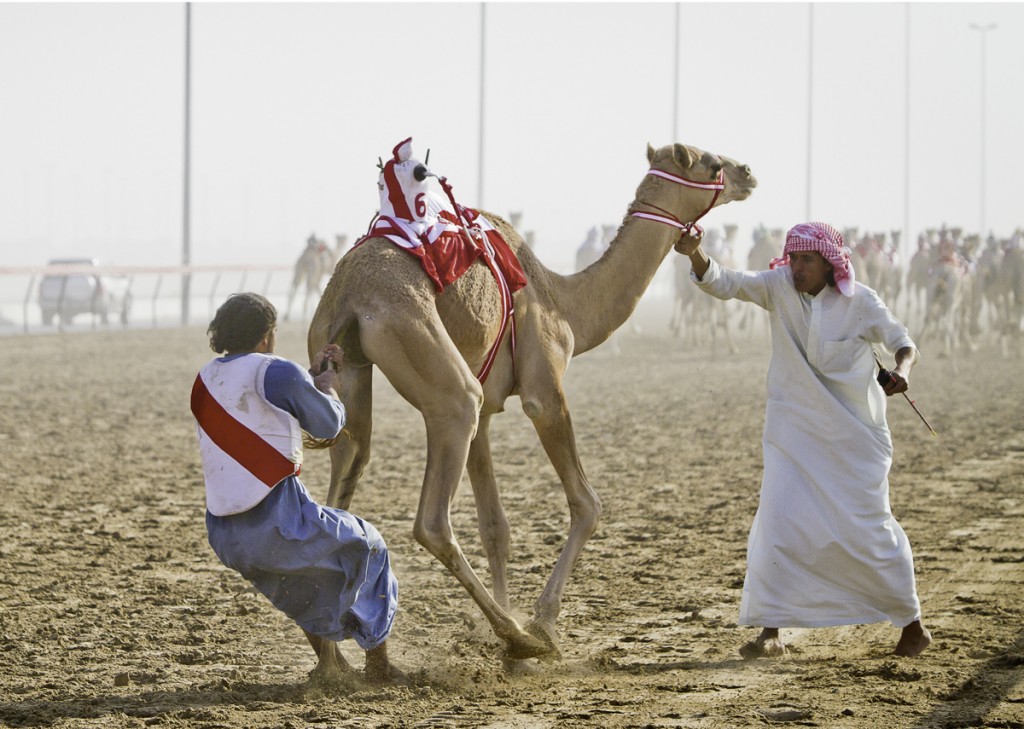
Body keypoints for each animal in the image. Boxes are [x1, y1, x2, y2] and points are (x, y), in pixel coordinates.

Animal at [307, 142, 757, 667]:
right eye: (712, 163)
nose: (748, 172)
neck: (566, 302)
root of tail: (349, 297)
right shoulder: (544, 388)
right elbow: (587, 503)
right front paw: (541, 622)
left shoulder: (487, 412)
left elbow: (495, 527)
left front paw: (498, 634)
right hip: (440, 376)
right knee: (432, 521)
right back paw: (518, 636)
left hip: (349, 371)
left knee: (349, 465)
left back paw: (338, 660)